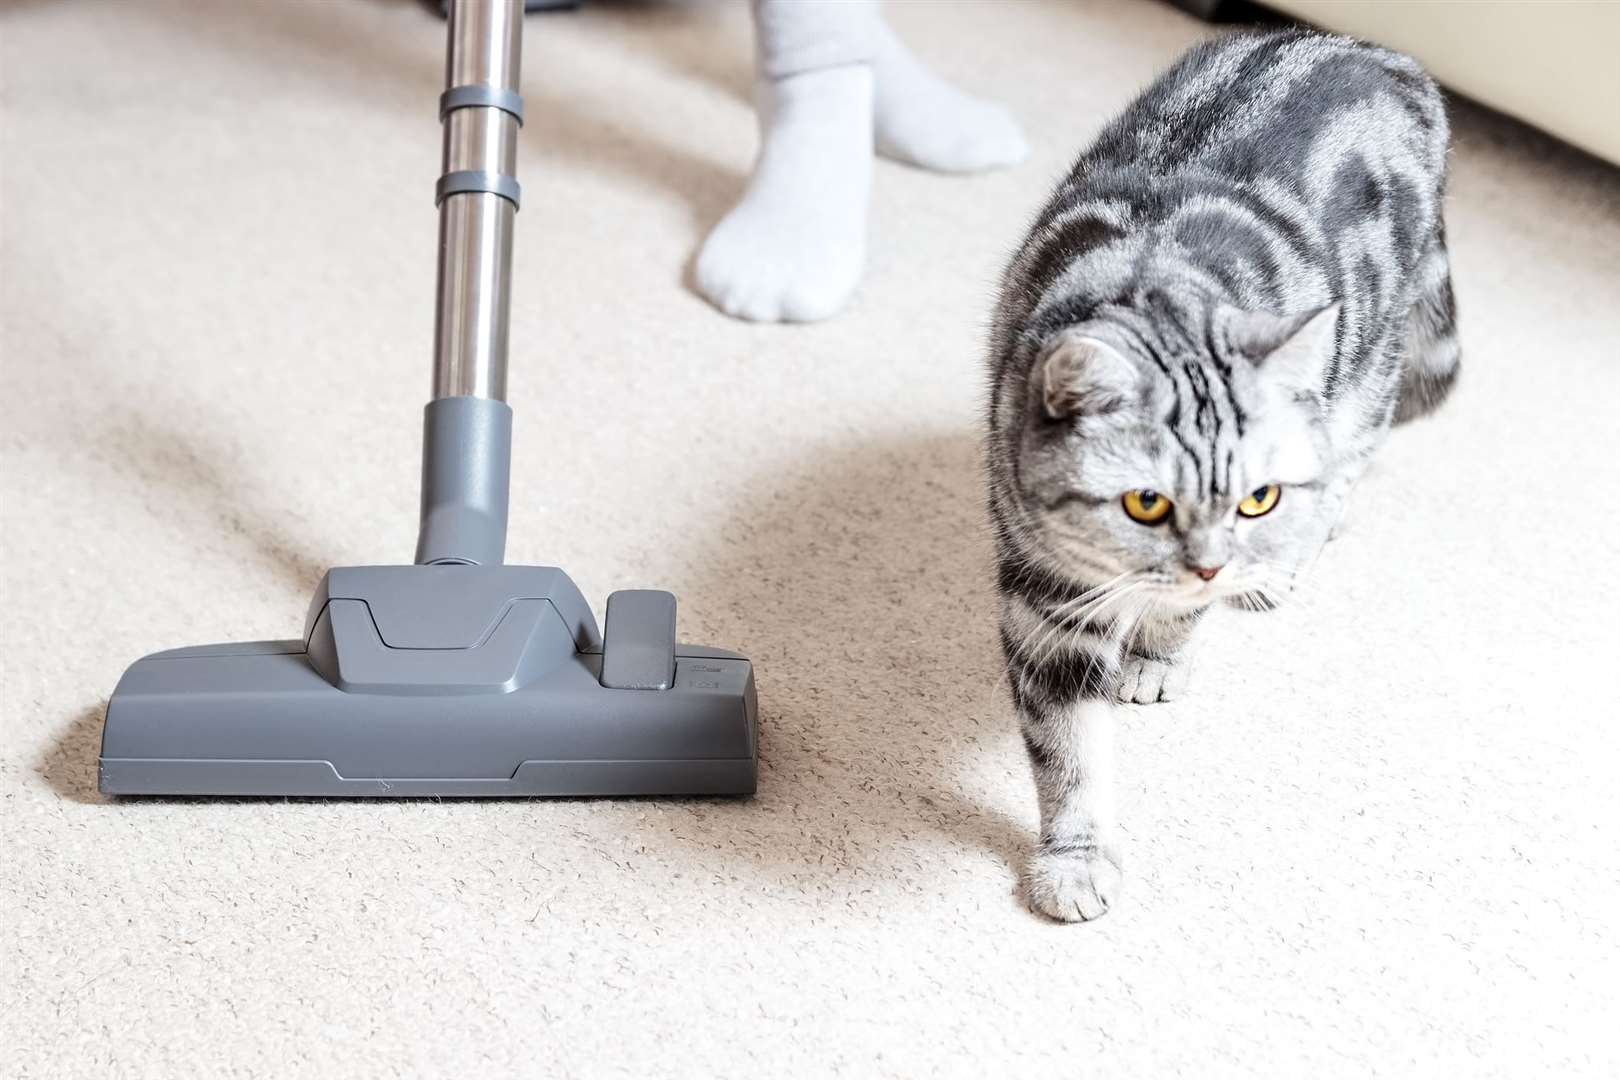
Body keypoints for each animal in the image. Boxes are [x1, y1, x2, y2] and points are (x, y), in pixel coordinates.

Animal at [978, 27, 1464, 919]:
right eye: (1145, 502)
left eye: (1256, 499)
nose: (1211, 564)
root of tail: (1376, 48)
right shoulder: (1044, 594)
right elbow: (1068, 749)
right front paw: (1074, 856)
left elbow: (1179, 621)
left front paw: (1161, 655)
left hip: (1368, 360)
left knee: (1353, 451)